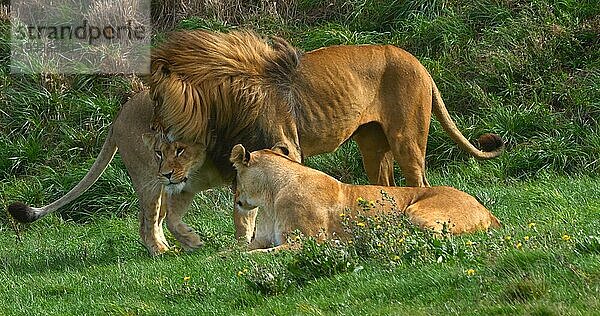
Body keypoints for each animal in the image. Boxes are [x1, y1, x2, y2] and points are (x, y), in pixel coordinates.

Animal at [7, 90, 227, 254]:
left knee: (154, 218)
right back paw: (160, 251)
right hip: (150, 177)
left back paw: (170, 247)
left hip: (165, 182)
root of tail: (118, 116)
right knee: (147, 221)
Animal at [230, 144, 502, 252]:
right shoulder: (260, 240)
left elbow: (251, 257)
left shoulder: (306, 243)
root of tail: (487, 210)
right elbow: (230, 252)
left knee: (434, 237)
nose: (237, 200)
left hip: (415, 212)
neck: (269, 198)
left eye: (235, 176)